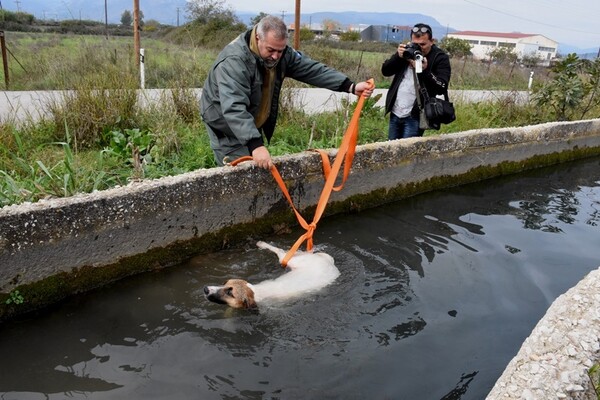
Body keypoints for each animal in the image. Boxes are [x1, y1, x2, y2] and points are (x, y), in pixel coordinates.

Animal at [204, 241, 340, 310]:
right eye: (224, 283)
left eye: (230, 293)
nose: (205, 289)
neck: (256, 292)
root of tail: (328, 261)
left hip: (290, 260)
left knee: (280, 251)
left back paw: (262, 244)